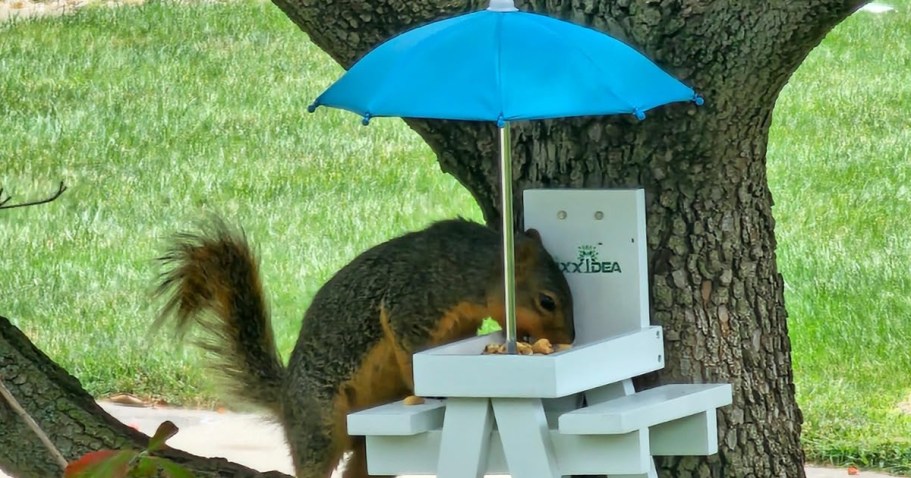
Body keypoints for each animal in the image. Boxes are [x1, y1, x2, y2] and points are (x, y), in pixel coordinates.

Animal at [153, 217, 574, 478]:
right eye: (547, 301)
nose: (569, 338)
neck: (470, 267)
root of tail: (286, 399)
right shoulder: (411, 303)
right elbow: (412, 353)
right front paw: (429, 390)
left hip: (372, 449)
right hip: (320, 418)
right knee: (313, 461)